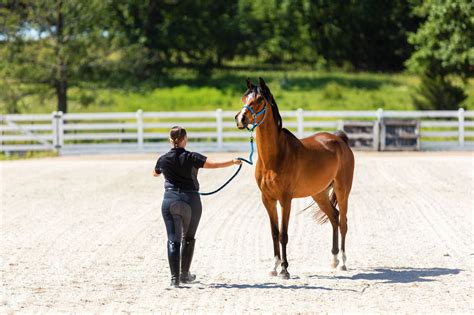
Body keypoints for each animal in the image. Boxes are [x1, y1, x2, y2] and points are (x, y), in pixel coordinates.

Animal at [235, 78, 354, 278]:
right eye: (244, 98)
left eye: (259, 99)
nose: (240, 118)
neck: (274, 157)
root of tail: (340, 140)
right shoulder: (267, 200)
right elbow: (274, 233)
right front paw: (274, 267)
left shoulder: (285, 200)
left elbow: (284, 234)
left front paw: (284, 269)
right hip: (319, 194)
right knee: (334, 217)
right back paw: (334, 260)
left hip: (342, 190)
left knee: (343, 222)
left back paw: (344, 263)